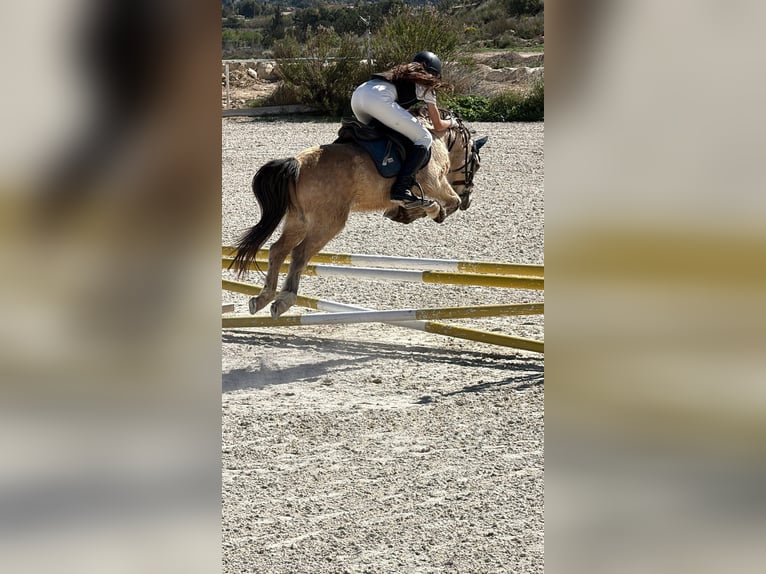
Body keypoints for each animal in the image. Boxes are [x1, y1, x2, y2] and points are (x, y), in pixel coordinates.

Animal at [228, 109, 488, 319]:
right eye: (476, 164)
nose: (469, 200)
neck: (437, 137)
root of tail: (297, 164)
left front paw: (405, 213)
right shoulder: (434, 183)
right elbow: (447, 203)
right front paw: (431, 211)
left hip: (298, 220)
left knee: (277, 250)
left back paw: (263, 299)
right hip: (329, 222)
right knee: (299, 253)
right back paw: (284, 300)